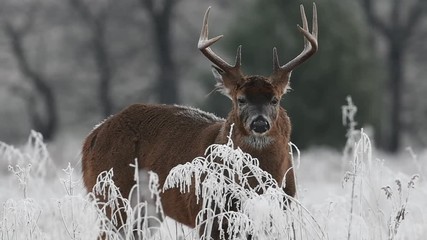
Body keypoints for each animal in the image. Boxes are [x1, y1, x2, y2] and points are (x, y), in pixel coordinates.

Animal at [83, 2, 318, 239]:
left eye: (275, 99)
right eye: (240, 99)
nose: (259, 123)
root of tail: (93, 135)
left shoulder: (277, 213)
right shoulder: (207, 211)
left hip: (147, 209)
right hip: (111, 192)